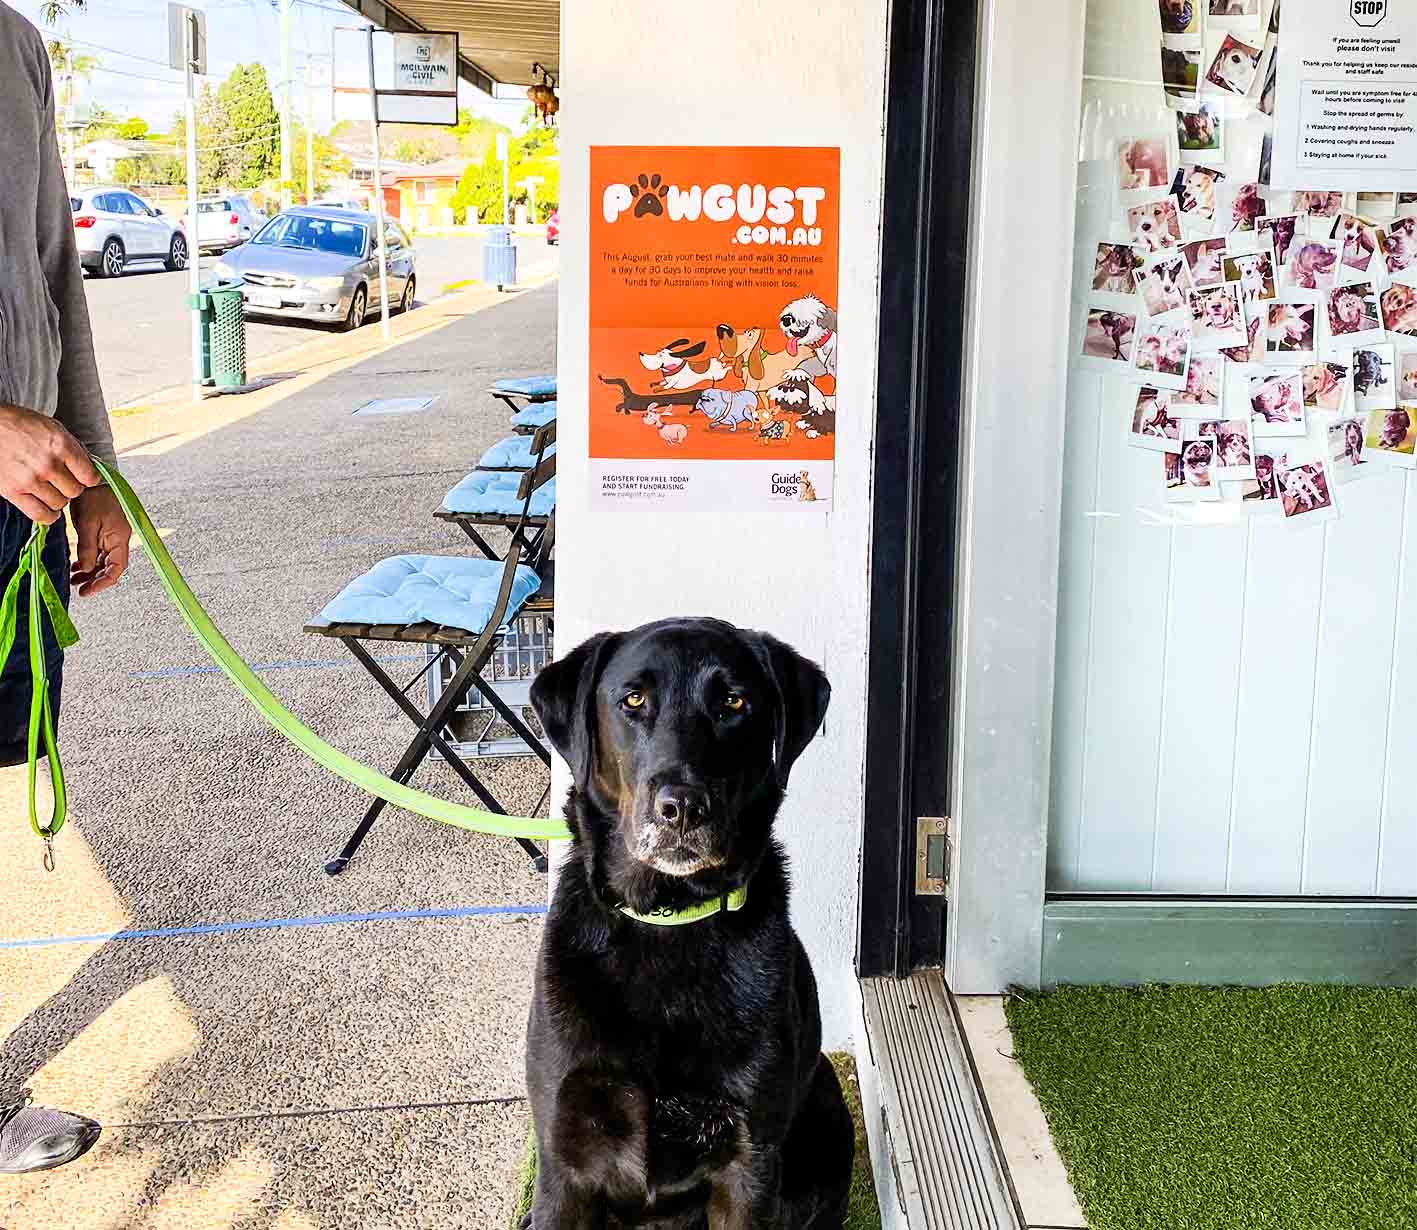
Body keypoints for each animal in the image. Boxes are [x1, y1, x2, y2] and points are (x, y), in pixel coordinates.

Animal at [524, 620, 844, 1224]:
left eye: (734, 702)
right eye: (633, 700)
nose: (683, 808)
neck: (666, 922)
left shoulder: (748, 1165)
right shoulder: (564, 1158)